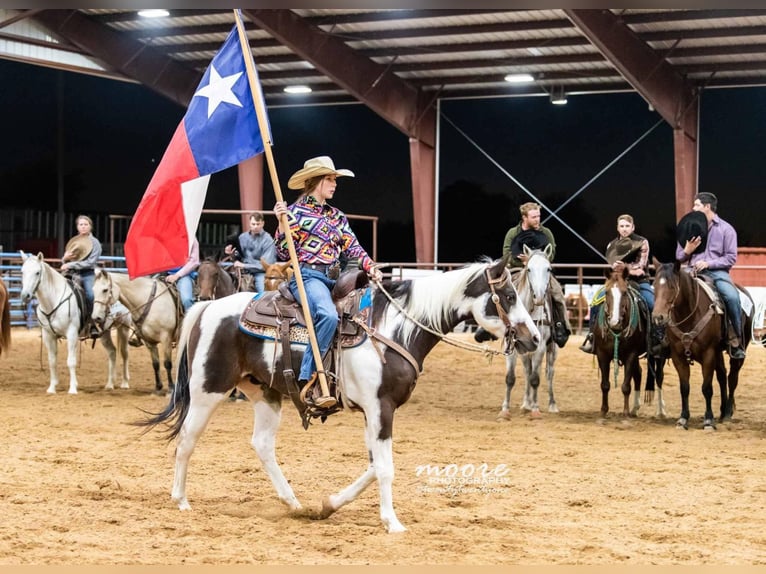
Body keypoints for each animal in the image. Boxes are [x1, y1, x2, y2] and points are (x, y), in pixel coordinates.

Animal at [18, 253, 132, 396]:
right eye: (22, 272)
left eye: (37, 272)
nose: (25, 295)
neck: (54, 300)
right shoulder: (48, 335)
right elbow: (52, 361)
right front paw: (52, 388)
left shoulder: (71, 334)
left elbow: (71, 361)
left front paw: (72, 389)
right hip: (104, 332)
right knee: (112, 352)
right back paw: (110, 384)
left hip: (124, 327)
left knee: (125, 353)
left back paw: (125, 383)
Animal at [140, 256, 544, 536]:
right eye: (509, 295)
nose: (536, 338)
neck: (394, 327)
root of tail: (208, 307)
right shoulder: (381, 408)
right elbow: (384, 467)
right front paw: (392, 522)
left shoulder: (373, 412)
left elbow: (374, 464)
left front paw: (329, 505)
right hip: (207, 390)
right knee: (187, 440)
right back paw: (181, 500)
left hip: (265, 392)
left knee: (262, 444)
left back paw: (294, 502)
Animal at [656, 258, 756, 430]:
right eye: (655, 284)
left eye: (672, 287)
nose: (658, 317)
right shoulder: (678, 356)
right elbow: (684, 388)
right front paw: (683, 419)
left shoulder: (708, 353)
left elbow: (707, 388)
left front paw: (708, 420)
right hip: (718, 353)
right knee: (722, 376)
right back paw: (722, 411)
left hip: (739, 349)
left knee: (732, 378)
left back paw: (727, 413)